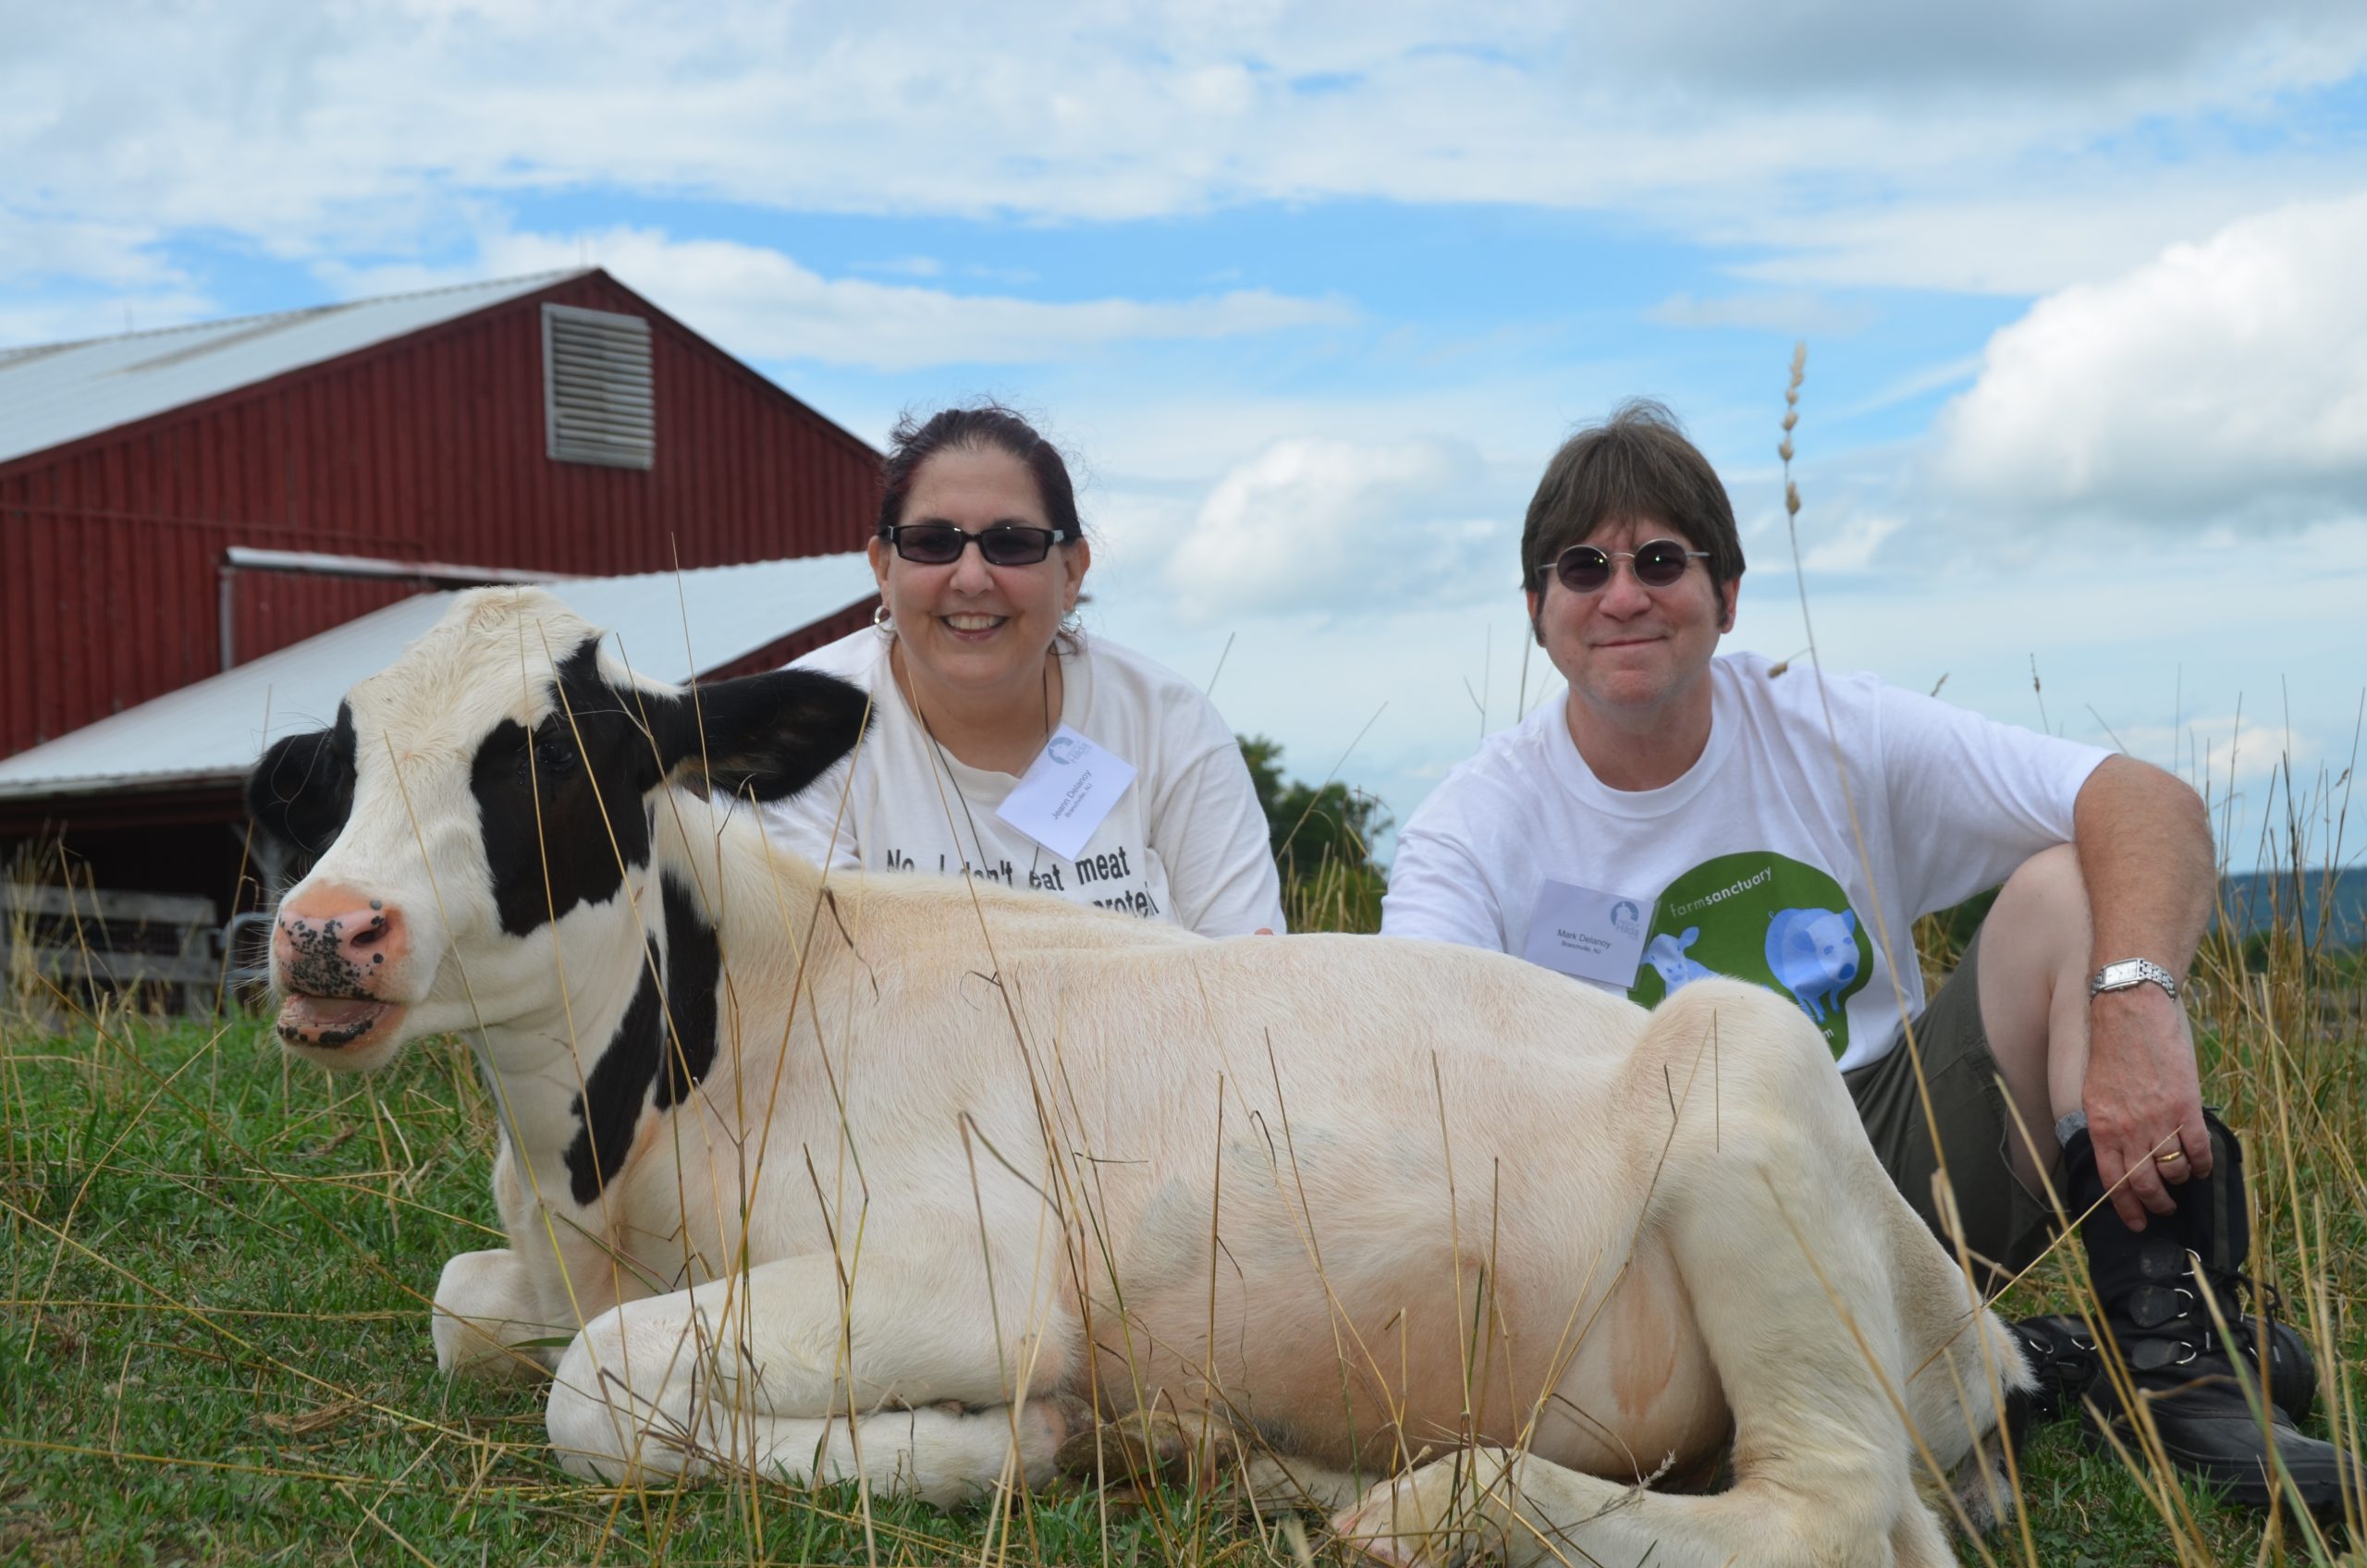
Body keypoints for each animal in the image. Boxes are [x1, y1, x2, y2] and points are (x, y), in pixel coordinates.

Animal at [254, 592, 2035, 1568]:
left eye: (562, 757)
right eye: (334, 766)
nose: (326, 933)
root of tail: (1974, 1323)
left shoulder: (969, 1263)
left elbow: (593, 1386)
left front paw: (989, 1446)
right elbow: (467, 1316)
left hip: (1758, 1112)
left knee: (1828, 1512)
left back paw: (1435, 1508)